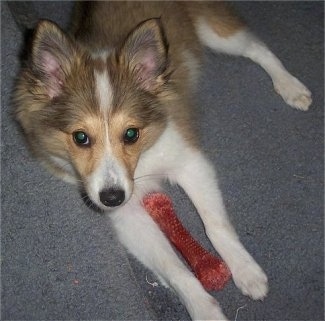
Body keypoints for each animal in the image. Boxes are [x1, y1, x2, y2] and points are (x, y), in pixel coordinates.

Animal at [15, 1, 312, 318]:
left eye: (131, 133)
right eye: (80, 137)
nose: (111, 198)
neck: (143, 162)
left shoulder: (191, 163)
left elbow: (215, 226)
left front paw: (246, 270)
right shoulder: (126, 211)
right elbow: (173, 268)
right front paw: (204, 309)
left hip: (215, 30)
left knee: (256, 47)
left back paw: (291, 87)